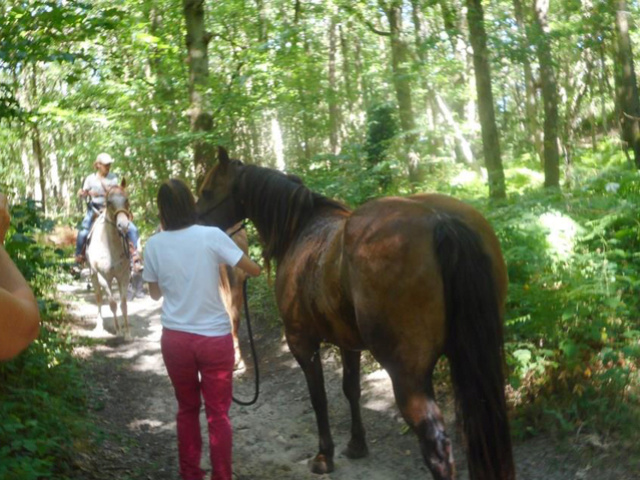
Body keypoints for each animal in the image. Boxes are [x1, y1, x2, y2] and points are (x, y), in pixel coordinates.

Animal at [85, 181, 132, 342]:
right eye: (109, 202)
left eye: (126, 199)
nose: (123, 225)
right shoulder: (104, 277)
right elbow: (112, 304)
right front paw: (118, 331)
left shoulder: (124, 276)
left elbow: (123, 304)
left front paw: (127, 332)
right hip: (94, 277)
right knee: (99, 298)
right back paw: (99, 326)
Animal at [198, 147, 516, 480]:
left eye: (207, 191)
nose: (193, 222)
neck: (301, 228)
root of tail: (441, 220)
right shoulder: (347, 342)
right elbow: (351, 389)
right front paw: (356, 444)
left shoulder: (302, 341)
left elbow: (319, 398)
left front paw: (324, 455)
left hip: (408, 376)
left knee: (437, 447)